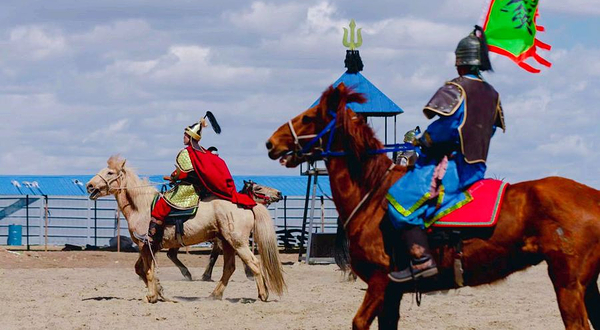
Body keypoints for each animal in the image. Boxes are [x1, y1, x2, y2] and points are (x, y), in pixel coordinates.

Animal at [268, 84, 600, 330]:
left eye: (310, 117)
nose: (271, 143)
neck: (373, 194)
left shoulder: (380, 283)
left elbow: (359, 322)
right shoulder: (392, 294)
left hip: (568, 285)